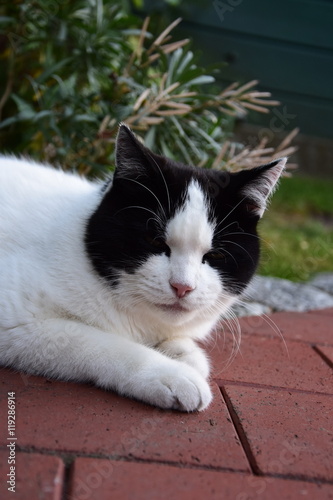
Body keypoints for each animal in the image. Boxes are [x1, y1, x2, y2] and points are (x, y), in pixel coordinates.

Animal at [0, 124, 286, 410]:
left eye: (215, 255)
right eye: (155, 241)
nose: (182, 287)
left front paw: (185, 354)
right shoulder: (18, 320)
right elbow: (100, 341)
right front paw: (172, 374)